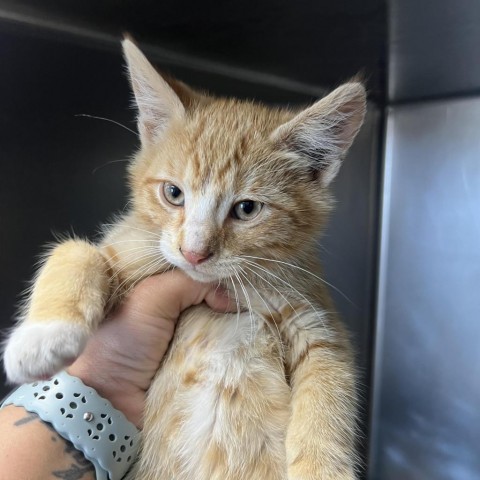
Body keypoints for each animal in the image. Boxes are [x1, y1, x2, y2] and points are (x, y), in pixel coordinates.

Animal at [2, 39, 364, 478]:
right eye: (173, 193)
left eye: (247, 209)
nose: (194, 252)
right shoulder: (129, 250)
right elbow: (76, 250)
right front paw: (42, 337)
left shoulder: (317, 322)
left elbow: (329, 392)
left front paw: (322, 468)